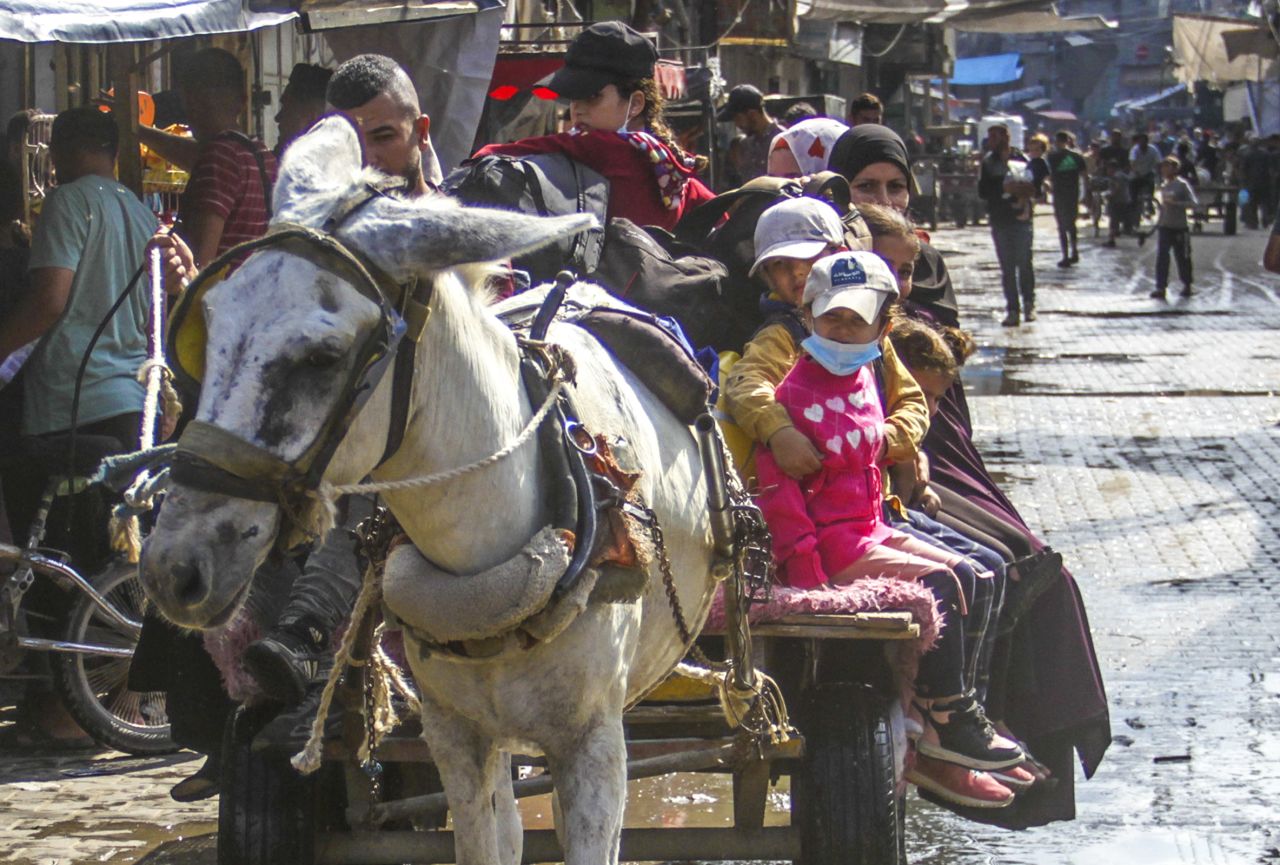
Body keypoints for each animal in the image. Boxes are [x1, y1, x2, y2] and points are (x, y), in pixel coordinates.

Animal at [142, 116, 721, 865]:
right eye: (205, 330)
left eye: (323, 357)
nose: (173, 567)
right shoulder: (456, 736)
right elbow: (486, 839)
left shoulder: (595, 745)